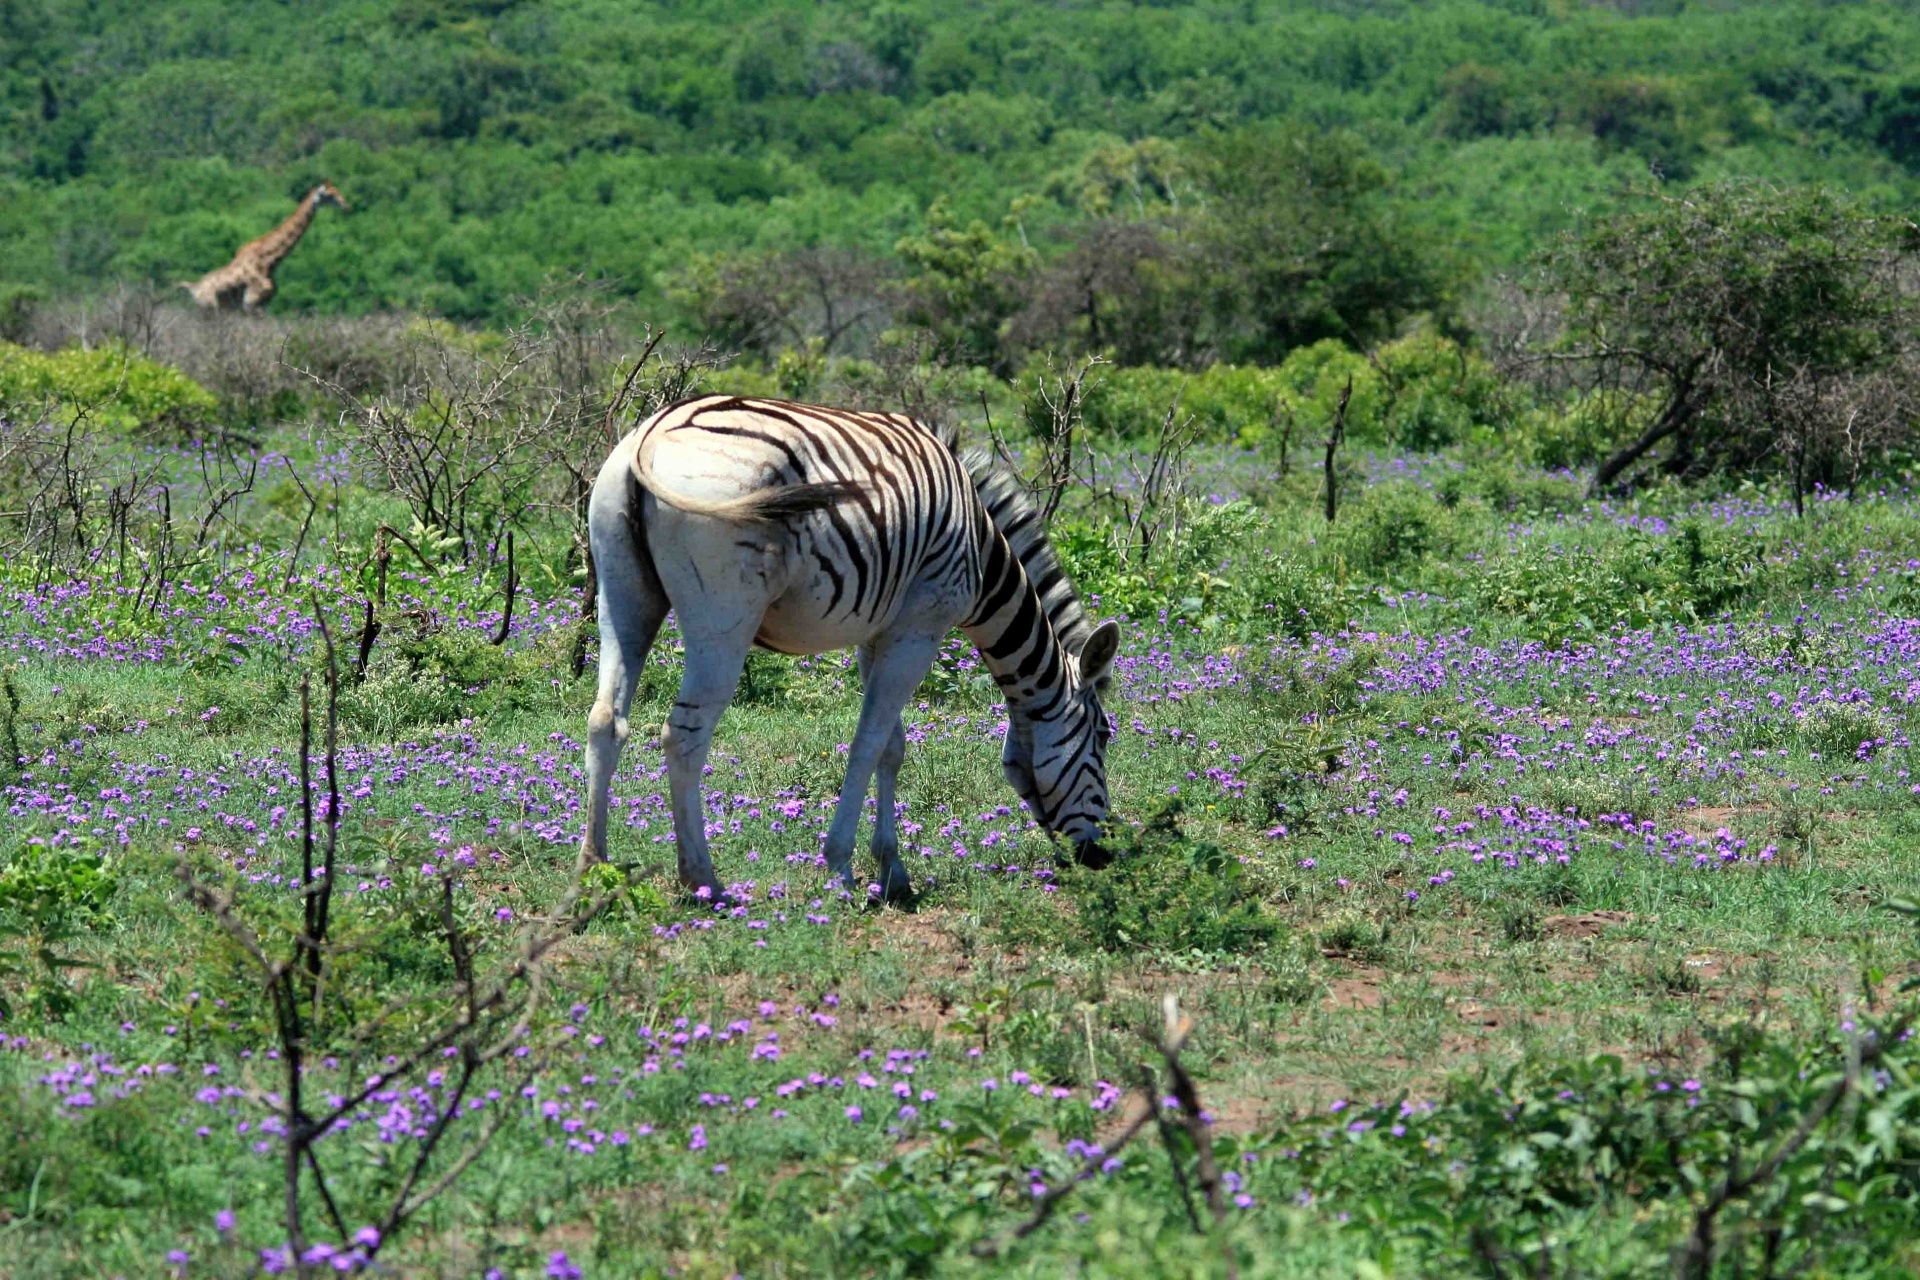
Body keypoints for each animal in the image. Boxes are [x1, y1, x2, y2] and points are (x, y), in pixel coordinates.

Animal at [180, 181, 349, 310]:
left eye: (338, 191)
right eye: (330, 195)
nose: (346, 205)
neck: (269, 262)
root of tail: (193, 288)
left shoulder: (263, 303)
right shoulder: (251, 302)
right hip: (209, 307)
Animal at [583, 391, 1121, 901]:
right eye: (1103, 737)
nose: (1103, 858)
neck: (983, 556)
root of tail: (651, 434)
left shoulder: (879, 633)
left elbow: (893, 748)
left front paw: (892, 870)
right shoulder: (920, 629)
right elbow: (868, 745)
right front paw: (840, 866)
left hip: (622, 592)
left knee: (606, 719)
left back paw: (595, 868)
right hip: (723, 616)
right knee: (684, 735)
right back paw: (702, 880)